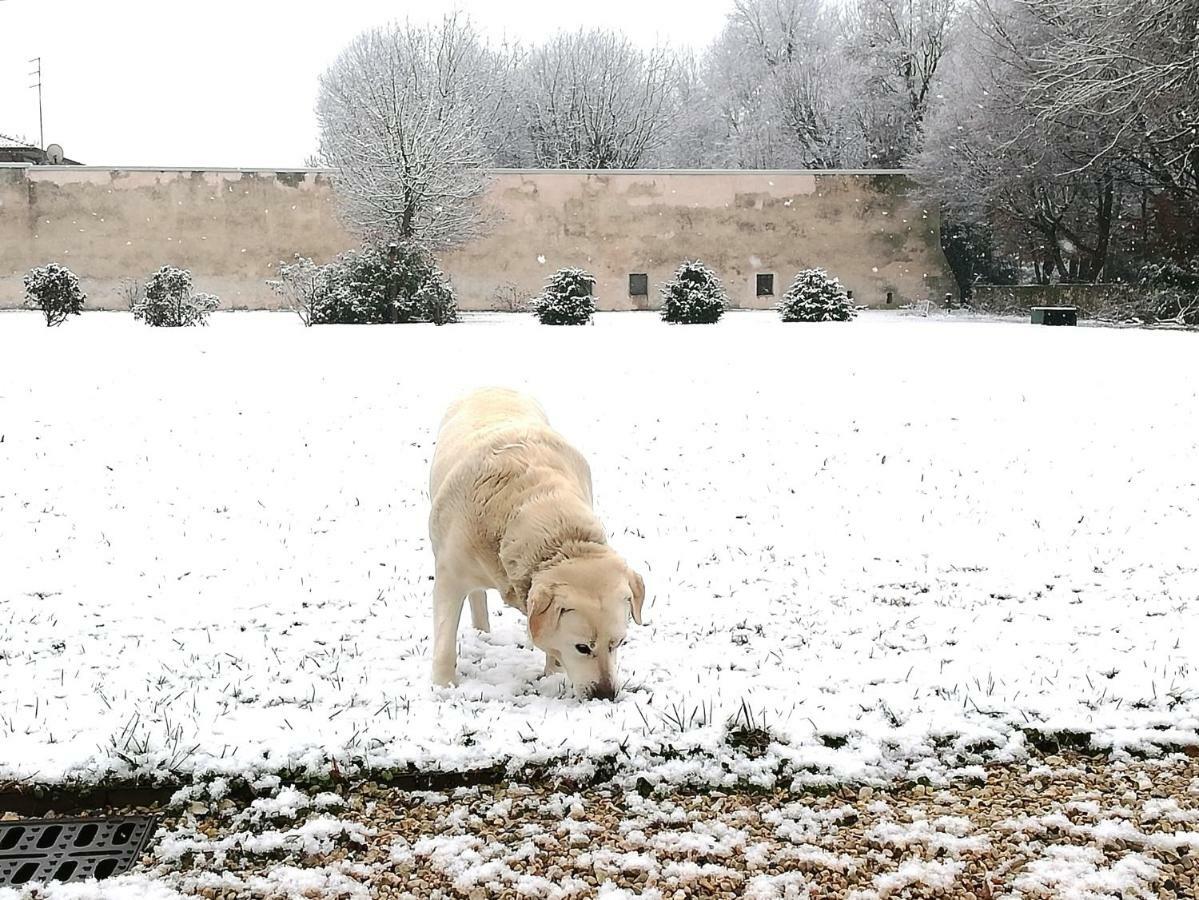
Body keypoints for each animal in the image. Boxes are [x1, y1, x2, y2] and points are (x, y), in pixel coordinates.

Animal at [426, 388, 642, 695]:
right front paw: (443, 685)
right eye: (583, 648)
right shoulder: (449, 576)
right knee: (476, 596)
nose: (606, 695)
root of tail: (491, 386)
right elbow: (445, 639)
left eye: (619, 643)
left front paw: (553, 675)